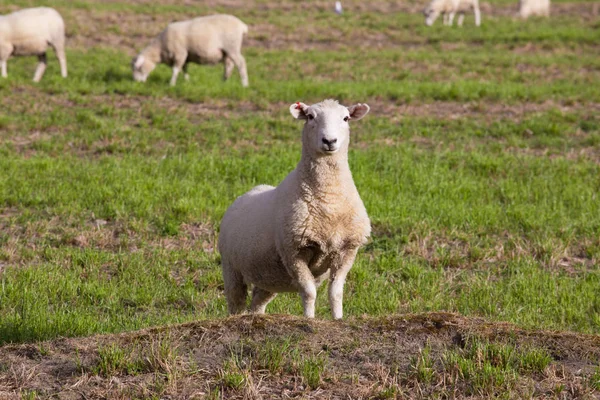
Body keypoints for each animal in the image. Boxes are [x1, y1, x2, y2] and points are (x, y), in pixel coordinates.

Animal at [218, 99, 372, 318]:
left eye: (346, 118)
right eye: (310, 117)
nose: (329, 141)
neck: (329, 200)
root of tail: (246, 194)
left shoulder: (347, 250)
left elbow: (336, 293)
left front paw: (338, 319)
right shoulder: (294, 251)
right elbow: (309, 292)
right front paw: (309, 319)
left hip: (268, 274)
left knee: (257, 302)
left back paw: (257, 317)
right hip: (231, 268)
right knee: (235, 301)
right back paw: (238, 318)